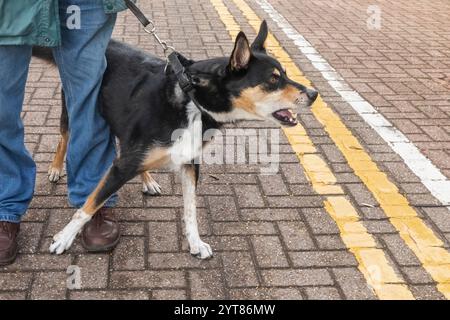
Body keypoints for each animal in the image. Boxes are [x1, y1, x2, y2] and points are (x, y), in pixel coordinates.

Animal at [36, 21, 316, 258]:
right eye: (273, 79)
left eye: (285, 74)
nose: (314, 93)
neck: (192, 99)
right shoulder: (121, 167)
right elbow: (88, 206)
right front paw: (64, 238)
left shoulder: (190, 163)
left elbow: (191, 210)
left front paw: (195, 243)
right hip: (75, 110)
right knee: (63, 139)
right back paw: (55, 168)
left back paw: (148, 179)